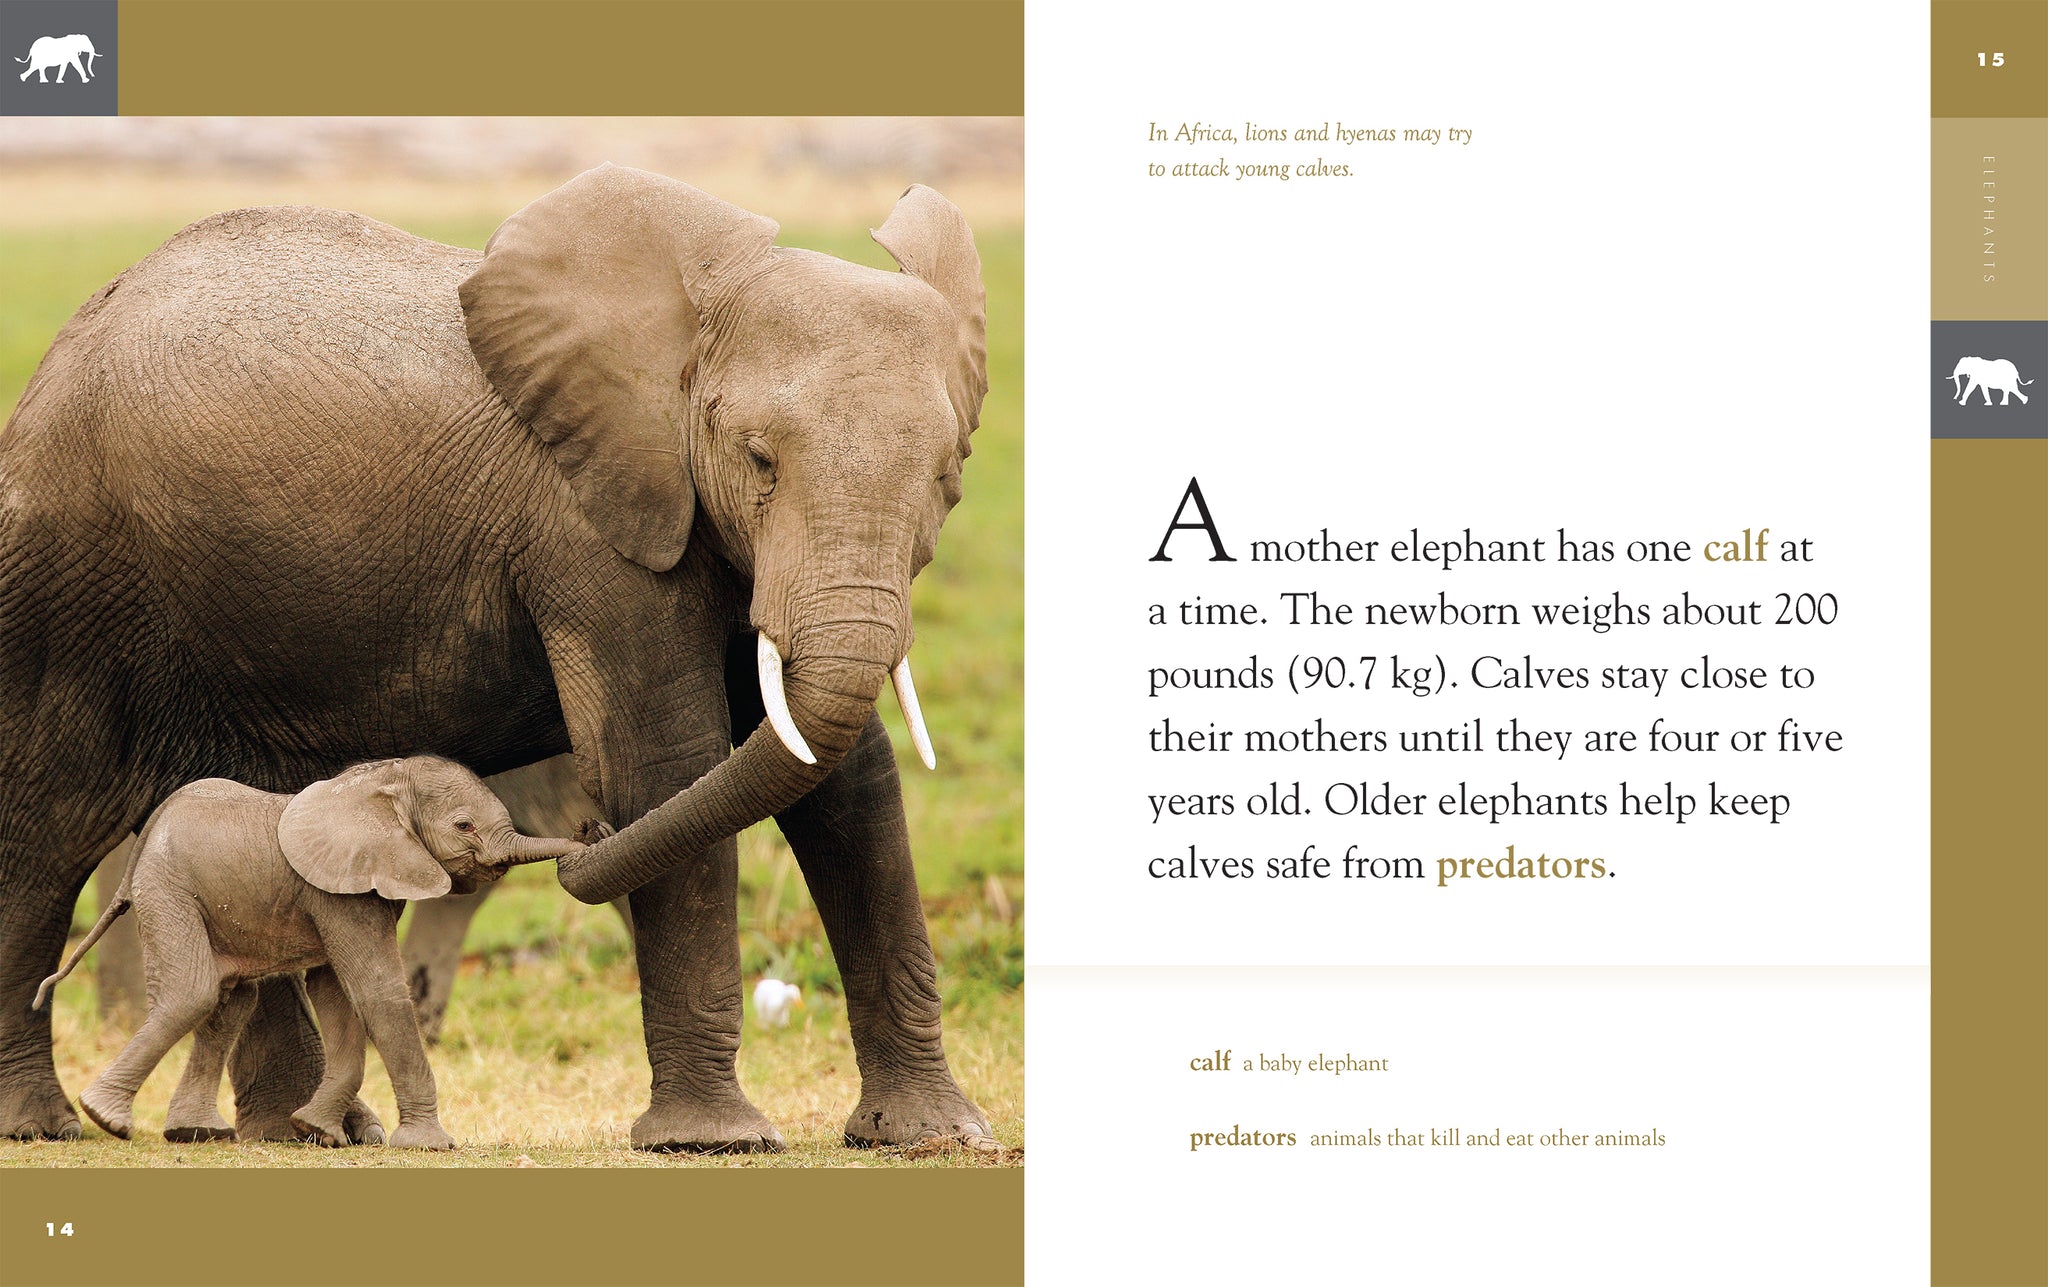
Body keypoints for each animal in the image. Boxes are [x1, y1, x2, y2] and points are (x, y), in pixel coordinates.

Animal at [34, 757, 584, 1148]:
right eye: (465, 826)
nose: (588, 831)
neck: (384, 780)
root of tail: (151, 827)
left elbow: (336, 992)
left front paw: (316, 1131)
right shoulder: (339, 890)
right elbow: (375, 990)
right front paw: (429, 1145)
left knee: (231, 1002)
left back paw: (195, 1133)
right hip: (169, 888)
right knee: (193, 992)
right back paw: (105, 1118)